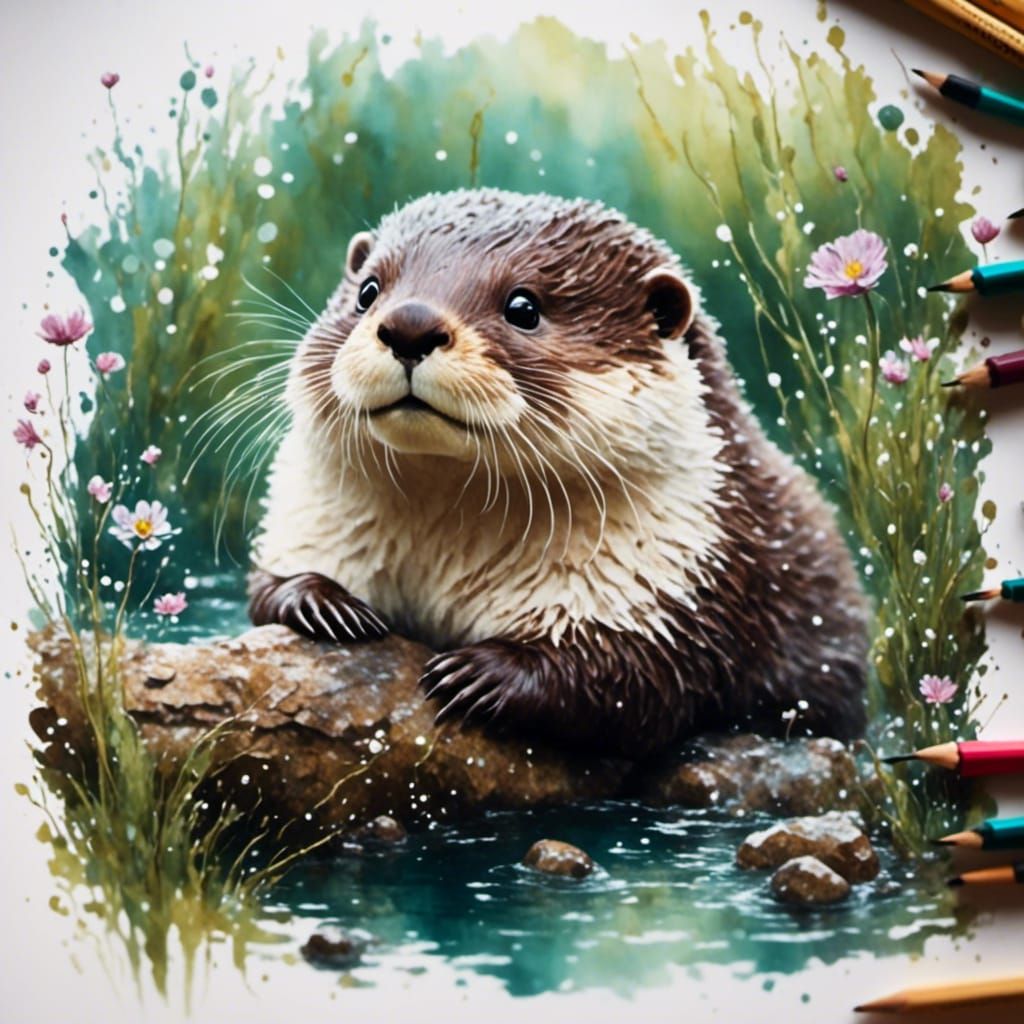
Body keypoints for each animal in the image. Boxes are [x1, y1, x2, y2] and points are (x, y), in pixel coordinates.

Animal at [249, 189, 868, 758]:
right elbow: (266, 593)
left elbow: (639, 681)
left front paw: (480, 674)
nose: (410, 324)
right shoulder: (316, 517)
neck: (444, 560)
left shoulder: (678, 571)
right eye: (368, 291)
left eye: (523, 307)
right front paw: (320, 602)